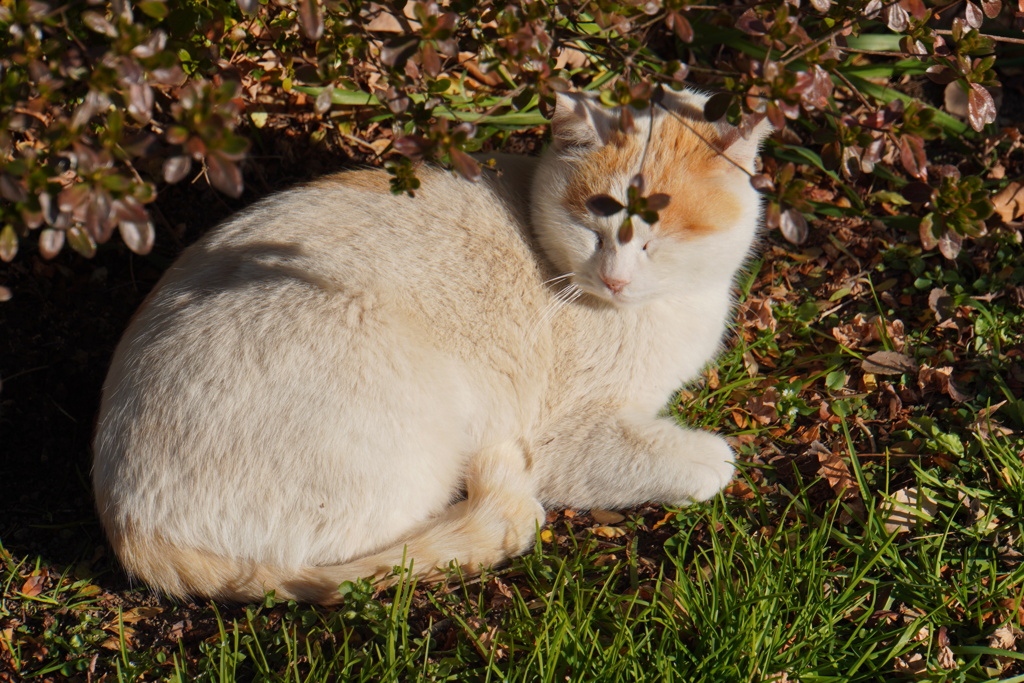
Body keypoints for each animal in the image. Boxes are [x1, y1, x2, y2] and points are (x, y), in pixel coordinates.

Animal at [94, 87, 770, 602]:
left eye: (654, 240)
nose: (615, 278)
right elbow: (705, 467)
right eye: (592, 227)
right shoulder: (562, 436)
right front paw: (710, 458)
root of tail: (127, 524)